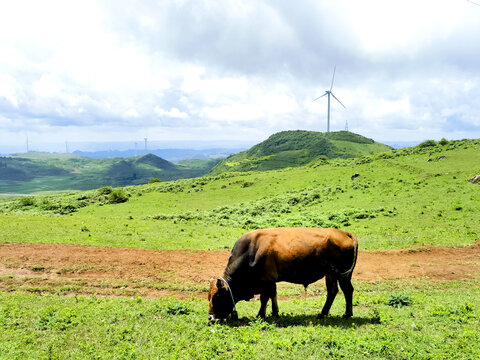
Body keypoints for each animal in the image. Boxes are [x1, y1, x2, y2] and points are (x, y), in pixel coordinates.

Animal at [208, 226, 358, 322]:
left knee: (347, 290)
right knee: (332, 291)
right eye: (208, 296)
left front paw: (261, 314)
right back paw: (323, 313)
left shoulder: (266, 280)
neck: (251, 251)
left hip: (343, 275)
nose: (211, 318)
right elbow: (273, 295)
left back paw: (347, 314)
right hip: (331, 274)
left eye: (217, 297)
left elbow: (264, 298)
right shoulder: (271, 281)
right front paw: (274, 312)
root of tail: (344, 233)